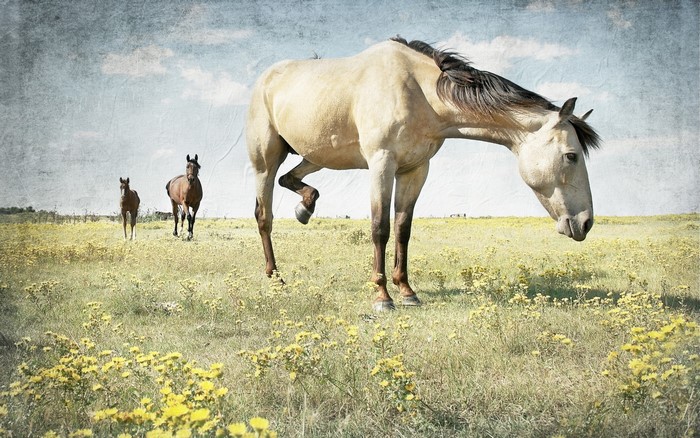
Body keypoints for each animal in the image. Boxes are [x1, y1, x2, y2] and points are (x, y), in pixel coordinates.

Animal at [246, 37, 601, 312]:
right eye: (571, 156)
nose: (585, 223)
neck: (418, 91)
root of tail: (266, 78)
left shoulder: (414, 170)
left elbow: (403, 229)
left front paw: (407, 292)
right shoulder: (382, 163)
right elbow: (380, 228)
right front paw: (382, 296)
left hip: (314, 156)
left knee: (290, 180)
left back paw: (305, 208)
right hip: (266, 161)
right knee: (265, 216)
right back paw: (276, 278)